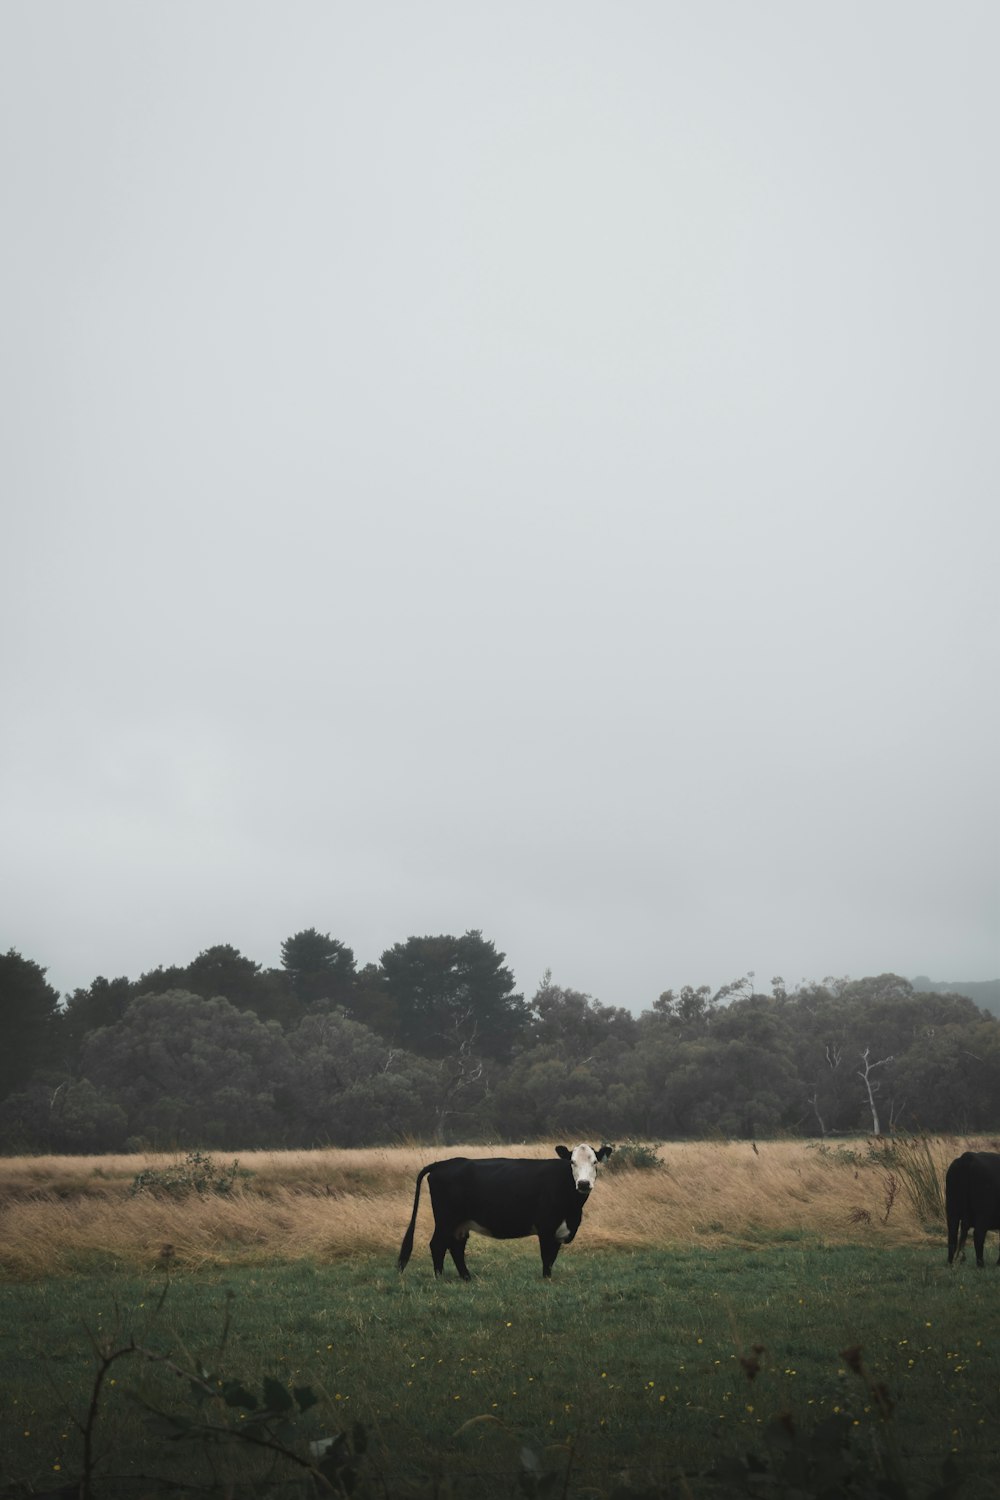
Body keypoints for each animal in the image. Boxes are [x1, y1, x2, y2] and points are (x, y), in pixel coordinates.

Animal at [395, 1140, 614, 1284]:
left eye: (595, 1162)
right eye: (572, 1162)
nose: (583, 1183)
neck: (572, 1211)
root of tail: (441, 1164)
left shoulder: (559, 1229)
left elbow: (552, 1258)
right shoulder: (546, 1227)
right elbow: (546, 1258)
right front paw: (546, 1280)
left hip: (460, 1223)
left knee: (456, 1247)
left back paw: (467, 1278)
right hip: (445, 1219)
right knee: (437, 1245)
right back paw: (439, 1277)